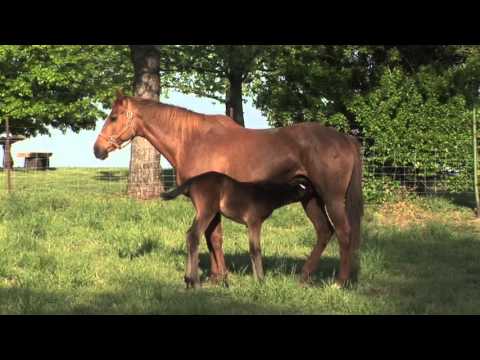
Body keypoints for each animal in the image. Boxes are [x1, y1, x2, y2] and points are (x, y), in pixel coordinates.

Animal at [159, 172, 314, 290]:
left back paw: (187, 280)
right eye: (306, 188)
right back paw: (196, 282)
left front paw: (256, 280)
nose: (316, 193)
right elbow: (256, 249)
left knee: (188, 235)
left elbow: (252, 250)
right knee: (193, 236)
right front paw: (261, 281)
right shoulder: (254, 222)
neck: (266, 193)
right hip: (207, 211)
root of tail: (191, 182)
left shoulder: (249, 225)